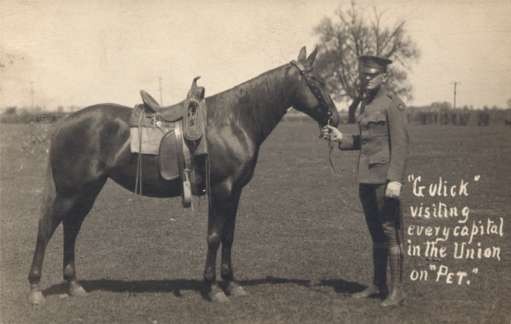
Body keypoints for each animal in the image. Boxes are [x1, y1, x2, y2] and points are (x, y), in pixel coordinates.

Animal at [27, 46, 340, 304]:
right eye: (317, 82)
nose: (336, 118)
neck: (234, 120)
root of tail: (64, 123)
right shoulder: (222, 189)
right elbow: (214, 236)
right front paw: (213, 289)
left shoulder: (235, 191)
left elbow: (228, 236)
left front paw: (231, 284)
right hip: (69, 192)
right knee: (46, 228)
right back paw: (35, 289)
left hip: (88, 191)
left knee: (71, 228)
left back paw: (74, 285)